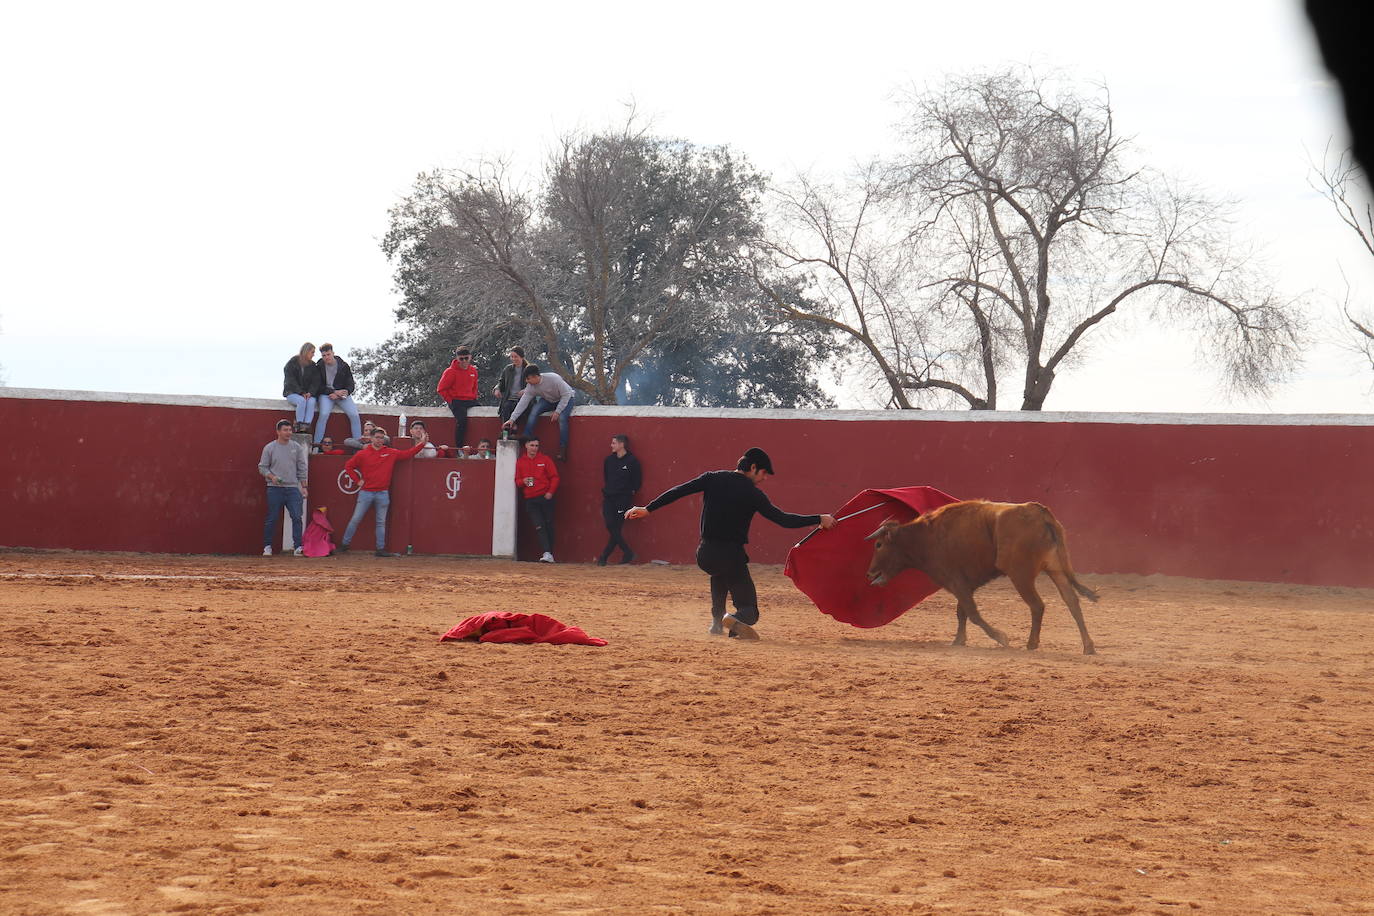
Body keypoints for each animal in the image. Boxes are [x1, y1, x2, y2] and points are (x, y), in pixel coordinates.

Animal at [862, 497, 1099, 656]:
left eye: (878, 544)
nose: (869, 573)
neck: (926, 537)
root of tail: (1040, 513)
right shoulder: (965, 584)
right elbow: (962, 612)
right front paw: (958, 640)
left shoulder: (956, 581)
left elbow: (972, 613)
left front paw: (1001, 637)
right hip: (1055, 568)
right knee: (1072, 601)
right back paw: (1088, 646)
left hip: (1020, 575)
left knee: (1037, 605)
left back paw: (1032, 643)